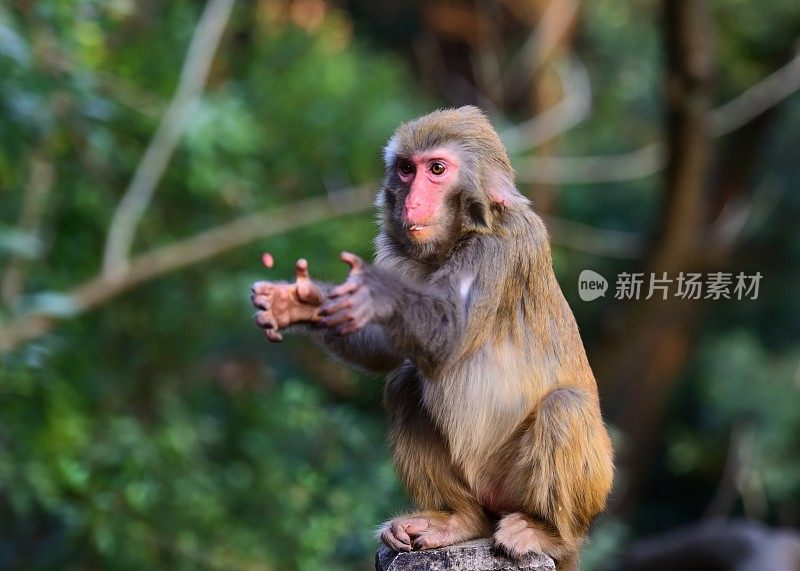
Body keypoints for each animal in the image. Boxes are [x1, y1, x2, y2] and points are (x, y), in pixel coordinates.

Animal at [250, 105, 612, 568]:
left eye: (437, 169)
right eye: (407, 169)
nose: (412, 200)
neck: (455, 239)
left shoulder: (505, 243)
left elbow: (449, 332)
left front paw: (371, 295)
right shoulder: (393, 250)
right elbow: (387, 352)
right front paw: (302, 303)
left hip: (559, 488)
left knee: (564, 406)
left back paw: (547, 533)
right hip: (482, 490)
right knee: (404, 384)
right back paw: (457, 519)